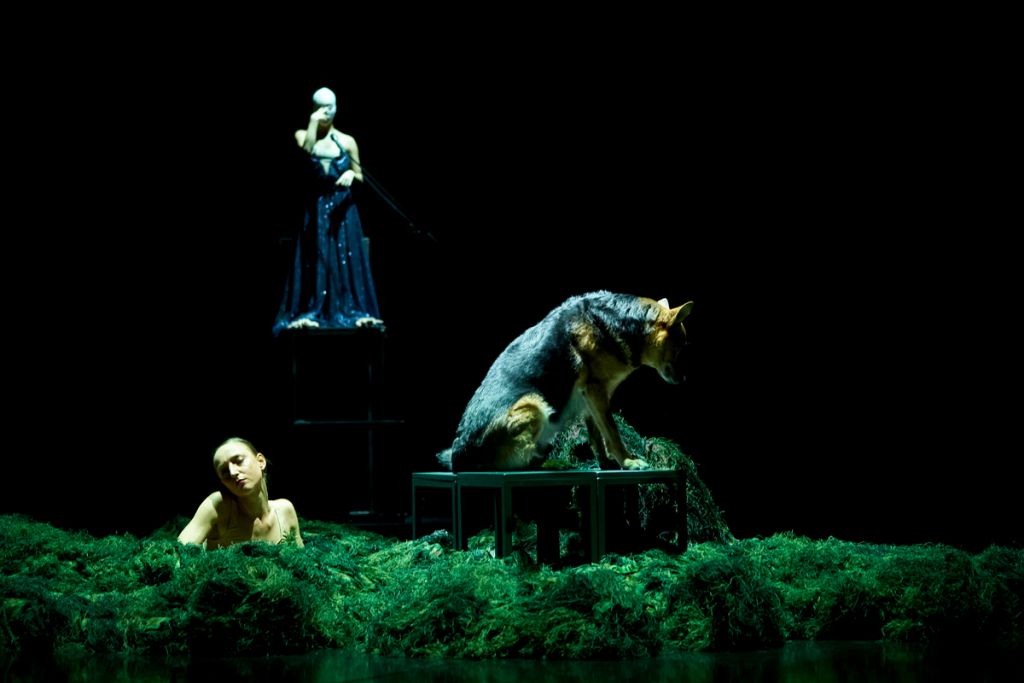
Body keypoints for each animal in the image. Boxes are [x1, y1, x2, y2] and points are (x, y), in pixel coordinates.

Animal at [438, 291, 693, 472]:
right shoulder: (596, 391)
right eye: (681, 347)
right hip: (533, 405)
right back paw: (549, 463)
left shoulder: (592, 397)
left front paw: (606, 464)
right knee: (514, 465)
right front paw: (628, 462)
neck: (621, 321)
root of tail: (458, 459)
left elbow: (597, 436)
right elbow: (612, 432)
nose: (684, 380)